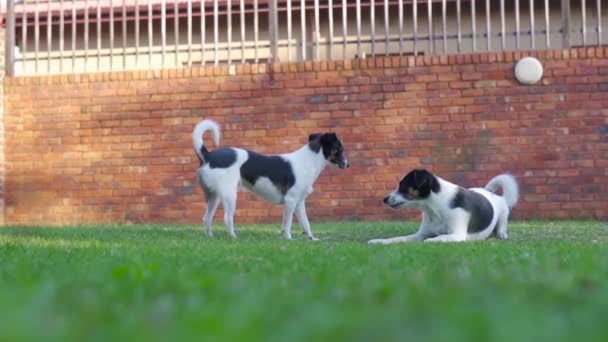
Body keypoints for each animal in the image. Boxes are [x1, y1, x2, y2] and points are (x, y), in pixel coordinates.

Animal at [192, 120, 350, 240]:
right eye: (339, 149)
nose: (348, 165)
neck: (310, 160)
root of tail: (208, 155)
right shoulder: (290, 201)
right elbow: (288, 223)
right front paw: (288, 239)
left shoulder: (299, 203)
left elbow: (305, 223)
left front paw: (311, 239)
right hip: (229, 196)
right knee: (227, 218)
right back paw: (233, 237)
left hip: (213, 196)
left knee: (206, 218)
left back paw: (210, 237)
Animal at [368, 168, 520, 243]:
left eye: (403, 186)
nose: (384, 199)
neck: (435, 208)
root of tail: (490, 191)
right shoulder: (419, 235)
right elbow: (398, 239)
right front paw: (379, 241)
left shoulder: (457, 235)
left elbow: (434, 239)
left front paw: (431, 241)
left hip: (503, 214)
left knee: (502, 224)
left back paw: (501, 233)